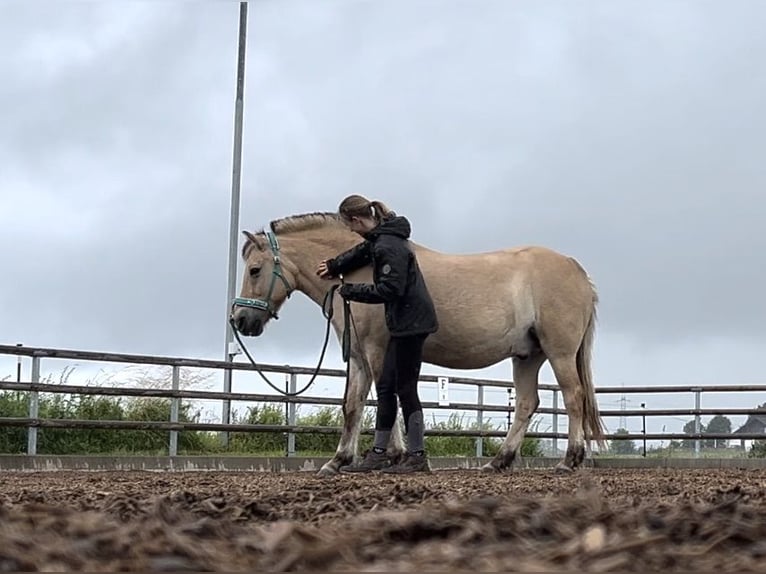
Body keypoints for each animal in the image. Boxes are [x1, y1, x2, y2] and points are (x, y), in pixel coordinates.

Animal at [228, 212, 608, 476]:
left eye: (255, 270)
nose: (240, 320)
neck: (361, 269)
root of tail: (576, 269)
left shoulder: (378, 351)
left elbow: (388, 400)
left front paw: (389, 457)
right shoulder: (358, 357)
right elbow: (353, 406)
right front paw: (337, 461)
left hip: (559, 352)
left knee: (573, 397)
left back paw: (569, 461)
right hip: (527, 356)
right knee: (527, 403)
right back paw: (498, 462)